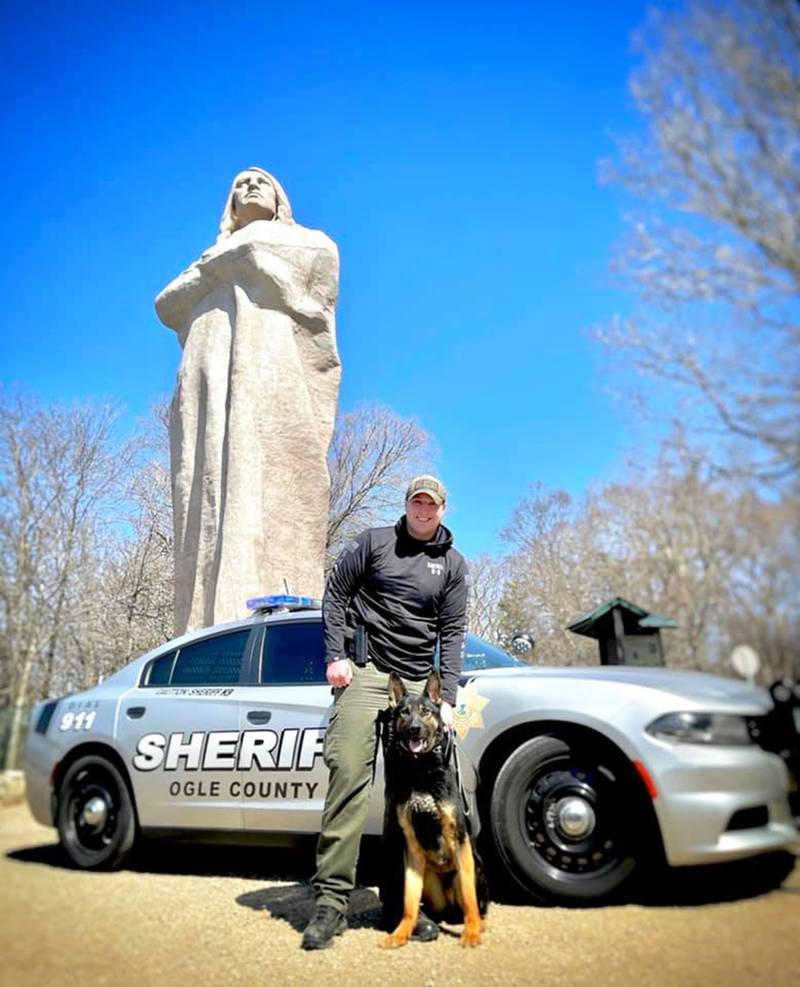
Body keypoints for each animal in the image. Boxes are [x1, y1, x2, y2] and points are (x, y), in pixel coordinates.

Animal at [380, 672, 488, 948]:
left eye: (426, 712)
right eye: (404, 712)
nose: (415, 729)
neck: (421, 771)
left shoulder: (459, 840)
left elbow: (470, 898)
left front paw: (472, 932)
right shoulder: (411, 848)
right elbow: (408, 901)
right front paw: (402, 932)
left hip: (472, 865)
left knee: (473, 903)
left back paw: (477, 923)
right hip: (430, 882)